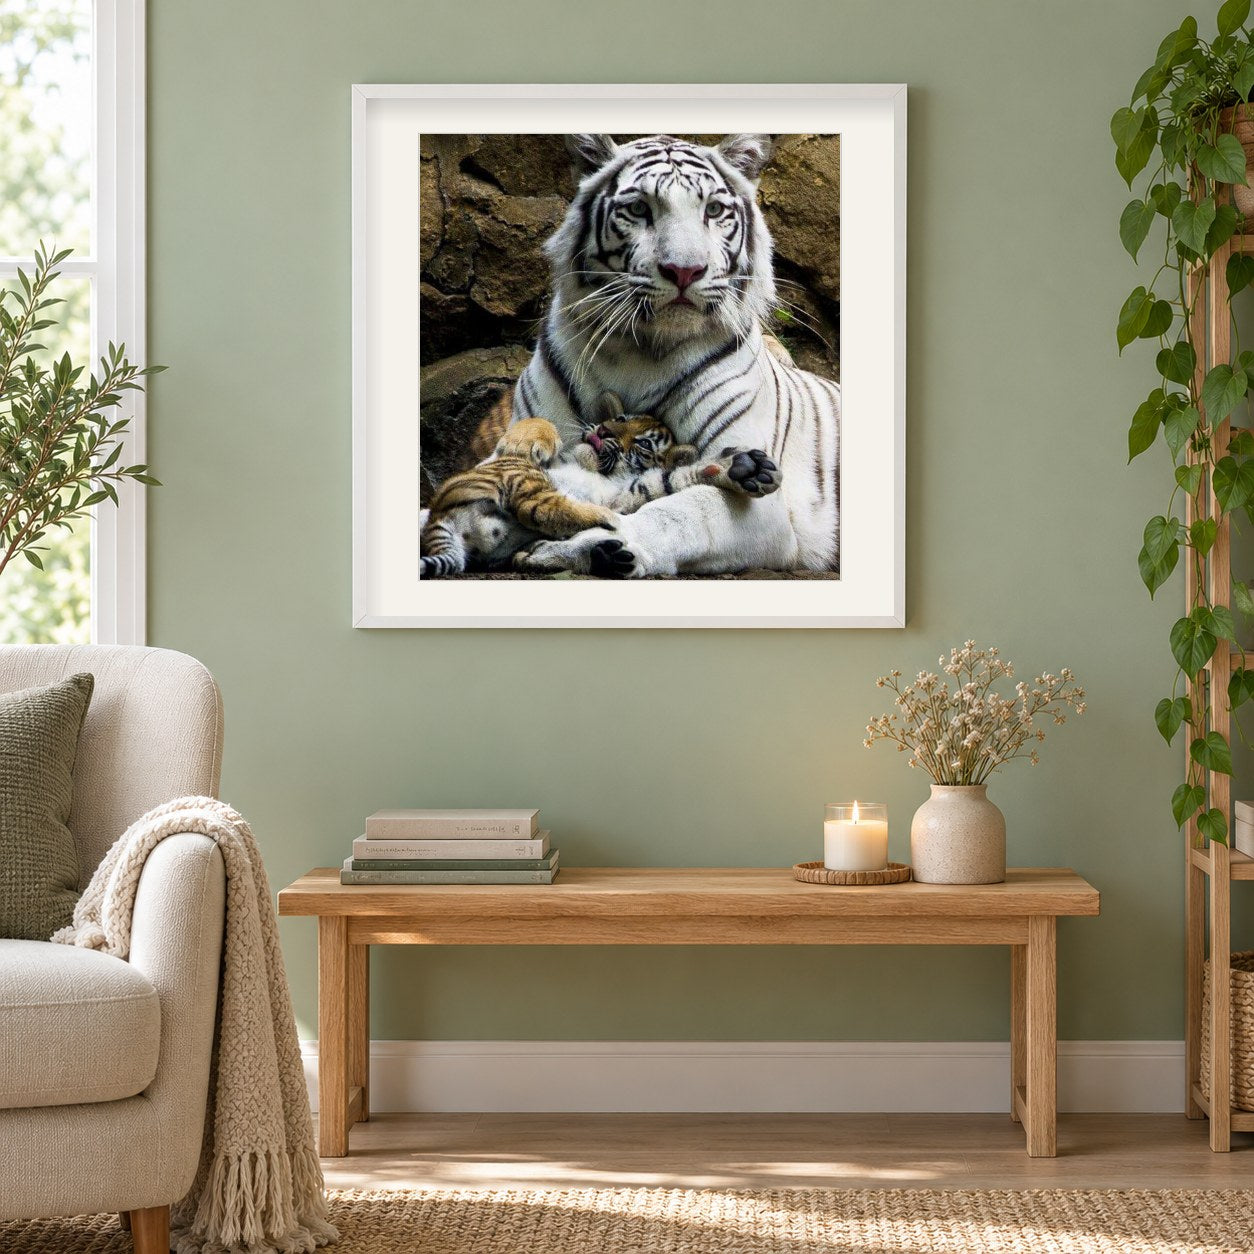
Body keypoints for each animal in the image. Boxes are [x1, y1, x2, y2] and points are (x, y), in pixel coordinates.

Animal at [419, 395, 782, 578]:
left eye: (644, 443)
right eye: (621, 420)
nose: (604, 430)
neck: (589, 467)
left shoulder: (622, 495)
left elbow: (665, 479)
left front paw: (741, 468)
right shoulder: (493, 463)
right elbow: (538, 423)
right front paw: (525, 441)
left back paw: (602, 554)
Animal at [509, 133, 842, 579]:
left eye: (713, 210)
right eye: (638, 208)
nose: (685, 271)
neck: (639, 350)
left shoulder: (764, 508)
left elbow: (673, 515)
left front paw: (581, 546)